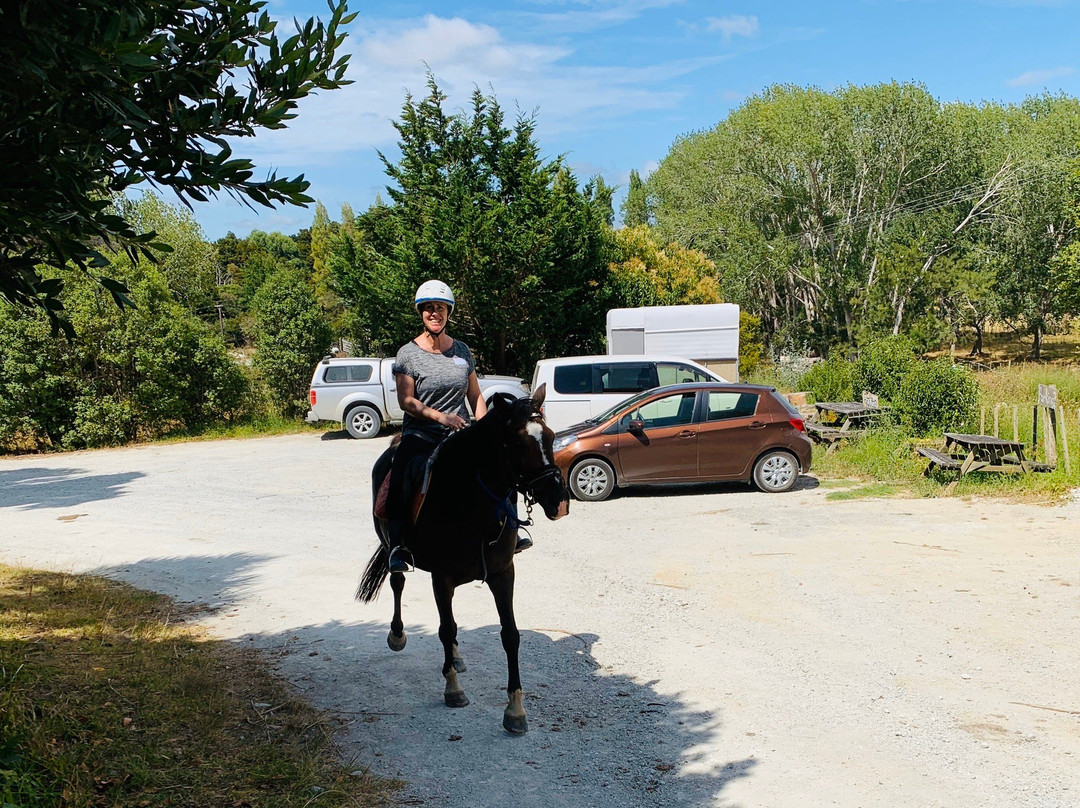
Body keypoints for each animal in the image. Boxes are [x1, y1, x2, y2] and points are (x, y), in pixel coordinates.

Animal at [355, 383, 569, 734]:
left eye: (550, 437)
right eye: (516, 442)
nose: (559, 502)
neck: (469, 501)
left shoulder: (502, 573)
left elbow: (510, 635)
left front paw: (515, 710)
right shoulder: (440, 577)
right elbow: (446, 629)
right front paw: (453, 689)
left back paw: (455, 657)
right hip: (391, 547)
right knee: (398, 581)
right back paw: (398, 635)